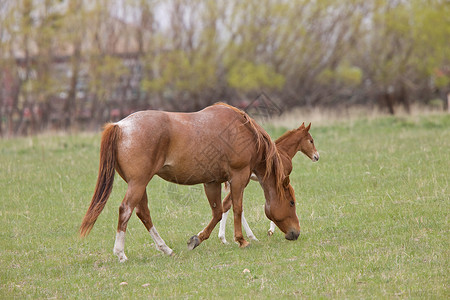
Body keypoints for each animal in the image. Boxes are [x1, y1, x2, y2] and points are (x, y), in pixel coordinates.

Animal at [79, 102, 300, 262]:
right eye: (291, 202)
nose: (295, 233)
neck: (243, 131)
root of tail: (120, 126)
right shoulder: (239, 177)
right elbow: (237, 207)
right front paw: (241, 240)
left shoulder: (212, 182)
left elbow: (218, 212)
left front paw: (197, 239)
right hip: (138, 183)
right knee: (126, 210)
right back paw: (121, 253)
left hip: (139, 185)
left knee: (143, 213)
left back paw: (165, 249)